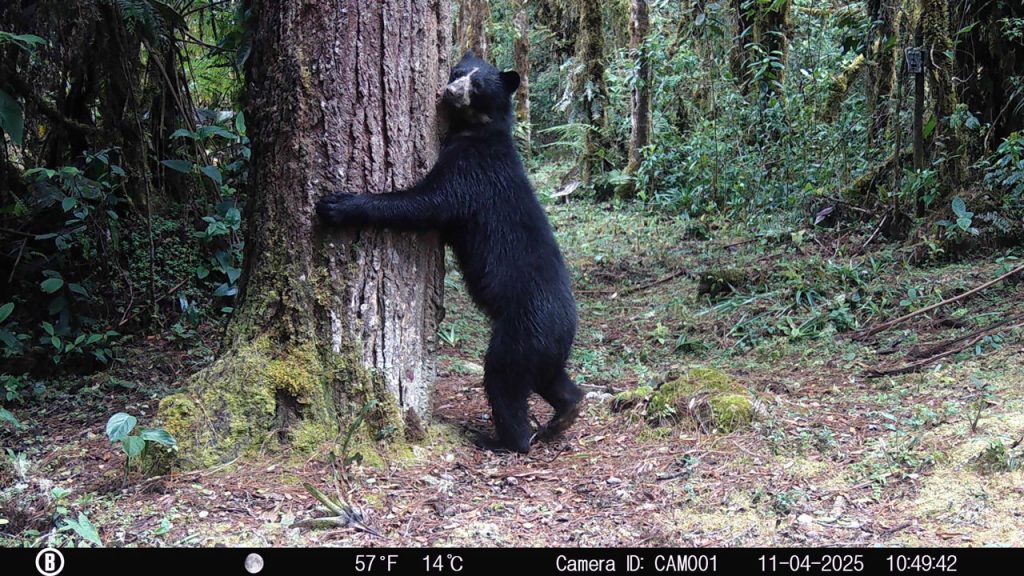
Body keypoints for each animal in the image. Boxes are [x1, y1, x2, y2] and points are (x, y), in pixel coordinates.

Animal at [315, 51, 582, 454]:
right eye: (458, 72)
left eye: (478, 84)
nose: (450, 90)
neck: (477, 131)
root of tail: (567, 324)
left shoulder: (470, 171)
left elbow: (425, 204)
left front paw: (337, 205)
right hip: (544, 344)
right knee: (550, 379)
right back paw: (566, 412)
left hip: (523, 329)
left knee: (504, 377)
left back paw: (510, 438)